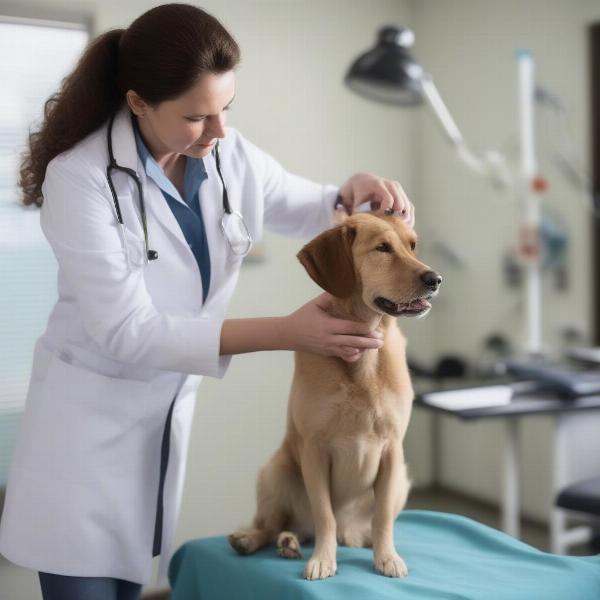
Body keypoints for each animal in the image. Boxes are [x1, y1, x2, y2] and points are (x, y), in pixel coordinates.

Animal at [229, 213, 440, 580]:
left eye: (412, 245)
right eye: (382, 248)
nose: (435, 279)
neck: (363, 362)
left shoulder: (392, 450)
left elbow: (382, 517)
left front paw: (387, 557)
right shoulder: (314, 449)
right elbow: (323, 514)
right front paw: (323, 560)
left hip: (402, 479)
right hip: (275, 472)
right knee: (275, 525)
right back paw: (261, 540)